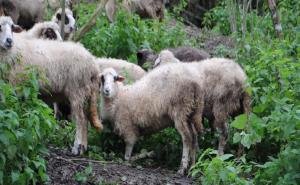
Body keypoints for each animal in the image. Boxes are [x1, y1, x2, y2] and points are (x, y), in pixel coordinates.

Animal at [0, 15, 103, 155]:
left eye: (11, 27)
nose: (9, 41)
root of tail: (93, 62)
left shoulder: (16, 86)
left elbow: (15, 112)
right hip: (85, 93)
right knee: (86, 119)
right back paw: (83, 148)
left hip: (77, 91)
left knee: (81, 120)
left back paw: (77, 147)